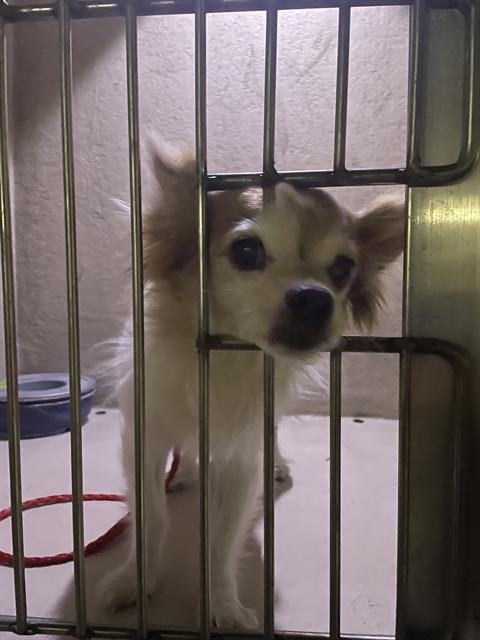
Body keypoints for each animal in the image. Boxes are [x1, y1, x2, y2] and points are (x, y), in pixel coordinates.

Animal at [98, 144, 404, 628]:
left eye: (343, 268)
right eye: (246, 251)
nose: (315, 298)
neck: (223, 359)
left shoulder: (242, 455)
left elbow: (223, 540)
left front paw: (221, 605)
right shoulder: (143, 438)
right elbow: (151, 519)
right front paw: (135, 580)